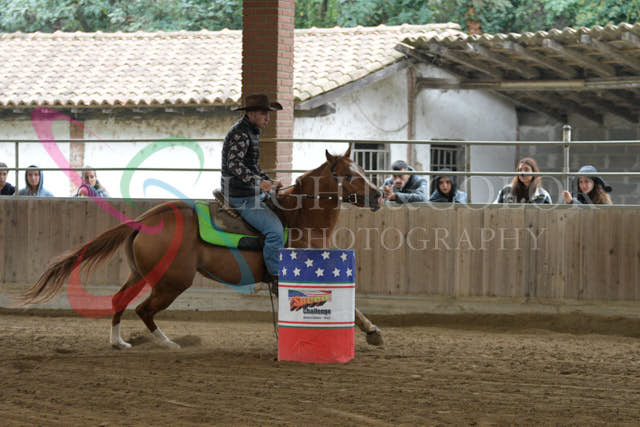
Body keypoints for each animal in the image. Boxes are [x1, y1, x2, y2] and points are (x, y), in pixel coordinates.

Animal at [19, 146, 385, 349]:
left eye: (362, 169)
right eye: (348, 174)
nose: (379, 194)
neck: (300, 217)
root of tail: (148, 218)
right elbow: (351, 307)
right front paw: (373, 333)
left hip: (141, 273)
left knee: (120, 301)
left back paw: (118, 342)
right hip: (173, 281)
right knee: (144, 310)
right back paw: (168, 344)